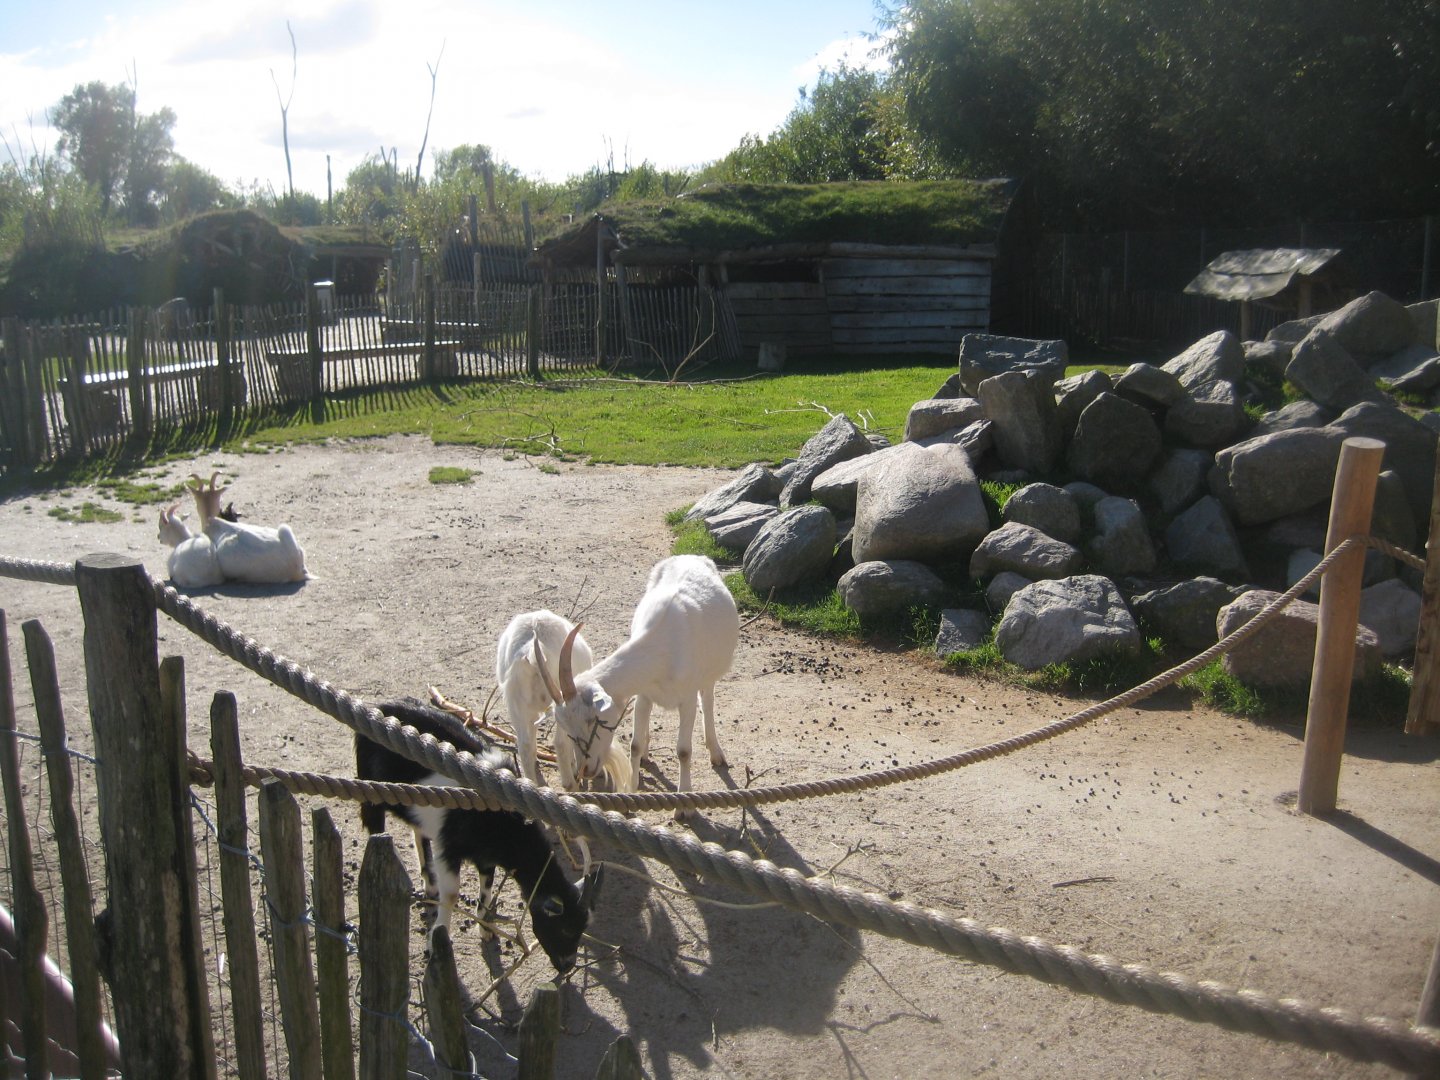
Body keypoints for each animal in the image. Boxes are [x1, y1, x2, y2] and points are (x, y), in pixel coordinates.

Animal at [355, 696, 602, 973]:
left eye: (582, 928)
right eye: (565, 929)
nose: (567, 966)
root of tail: (380, 707)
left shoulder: (486, 856)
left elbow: (487, 889)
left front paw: (487, 931)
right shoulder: (449, 849)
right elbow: (452, 894)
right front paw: (437, 941)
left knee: (419, 833)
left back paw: (429, 885)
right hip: (372, 791)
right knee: (376, 828)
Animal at [536, 555, 739, 813]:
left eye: (594, 720)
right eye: (568, 730)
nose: (587, 770)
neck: (660, 649)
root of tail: (692, 556)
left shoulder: (687, 699)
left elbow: (684, 751)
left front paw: (684, 805)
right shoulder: (643, 695)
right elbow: (635, 745)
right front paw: (631, 793)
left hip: (709, 675)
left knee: (709, 700)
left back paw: (716, 753)